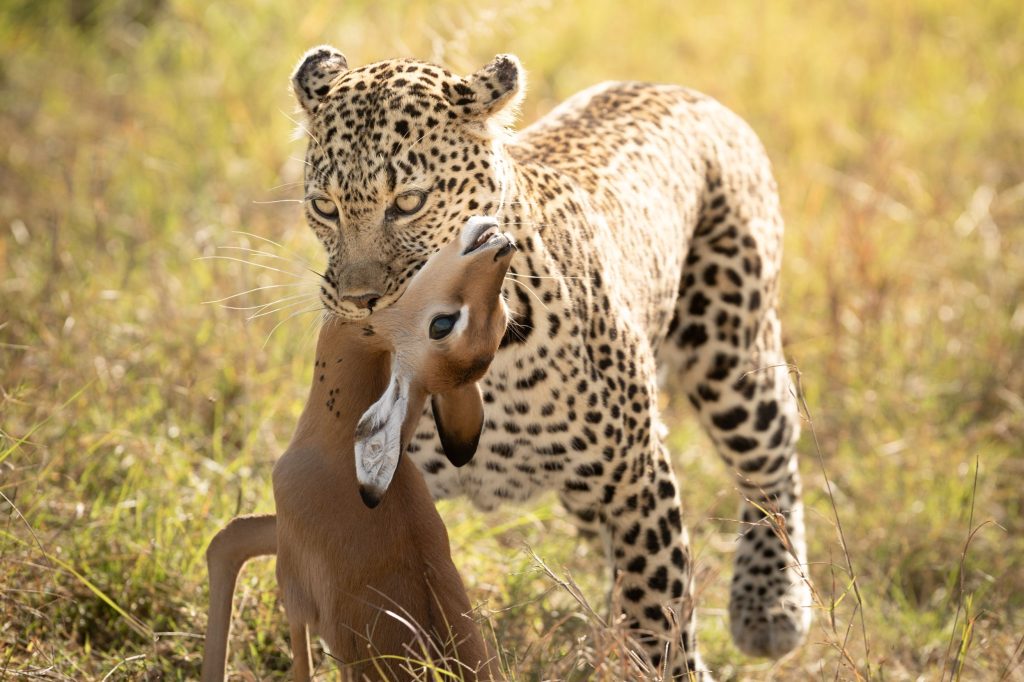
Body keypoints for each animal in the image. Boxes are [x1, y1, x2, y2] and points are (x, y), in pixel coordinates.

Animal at [288, 45, 812, 678]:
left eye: (408, 202)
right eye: (324, 207)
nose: (358, 300)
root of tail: (682, 91)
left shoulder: (635, 475)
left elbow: (659, 610)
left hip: (733, 358)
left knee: (772, 468)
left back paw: (772, 607)